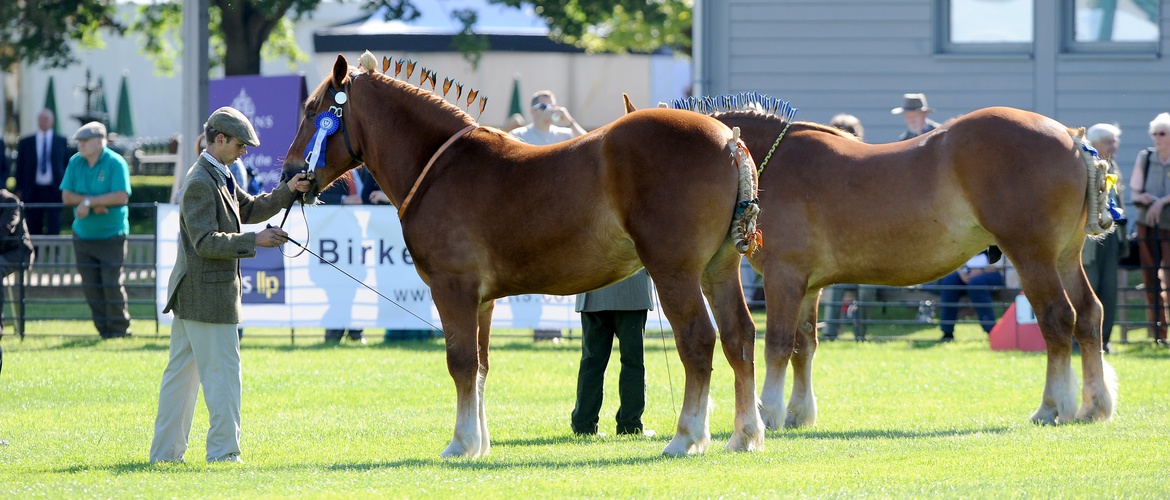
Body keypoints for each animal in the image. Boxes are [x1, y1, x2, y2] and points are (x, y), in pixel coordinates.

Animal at [283, 53, 767, 459]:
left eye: (313, 111)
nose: (290, 173)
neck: (439, 167)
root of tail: (729, 141)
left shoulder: (452, 288)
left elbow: (460, 362)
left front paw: (459, 444)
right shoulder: (482, 300)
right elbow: (480, 366)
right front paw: (479, 444)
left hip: (674, 272)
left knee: (698, 340)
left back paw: (686, 437)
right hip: (718, 269)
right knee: (739, 336)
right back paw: (745, 434)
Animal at [645, 93, 1118, 430]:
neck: (768, 164)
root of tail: (1072, 138)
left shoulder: (784, 276)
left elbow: (778, 344)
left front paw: (771, 412)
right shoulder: (810, 286)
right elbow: (805, 346)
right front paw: (799, 413)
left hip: (1032, 256)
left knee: (1057, 319)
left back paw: (1052, 406)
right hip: (1064, 257)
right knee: (1089, 315)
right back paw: (1094, 405)